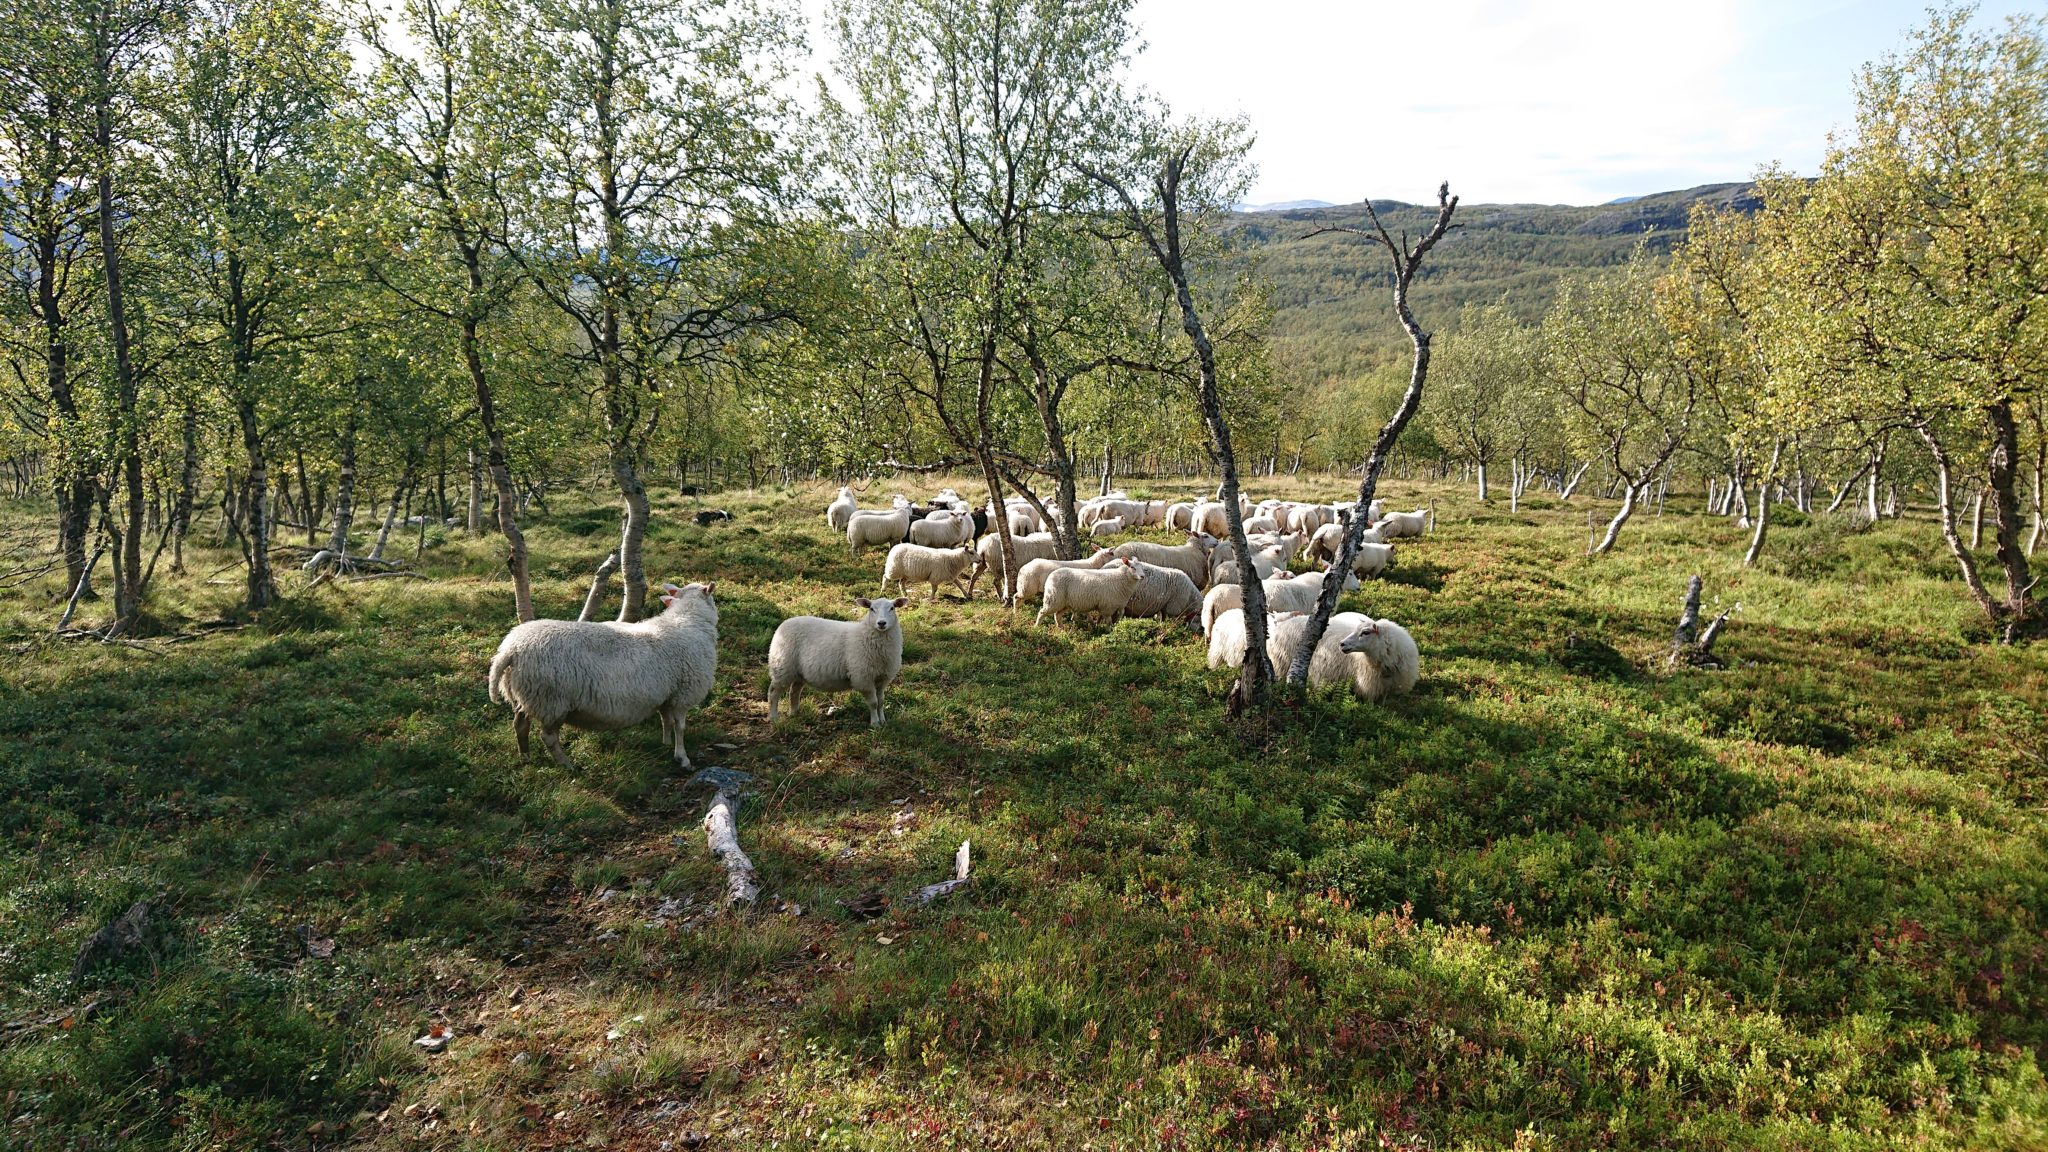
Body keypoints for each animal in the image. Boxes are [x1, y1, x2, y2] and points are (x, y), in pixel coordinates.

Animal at [487, 578, 720, 766]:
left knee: (520, 725)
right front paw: (682, 757)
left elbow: (667, 721)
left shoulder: (668, 693)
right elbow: (680, 726)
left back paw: (525, 757)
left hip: (524, 694)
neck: (687, 621)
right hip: (551, 700)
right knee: (548, 737)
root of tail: (510, 650)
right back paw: (566, 764)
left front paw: (665, 743)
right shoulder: (684, 693)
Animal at [770, 590, 909, 725]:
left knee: (794, 691)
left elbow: (881, 702)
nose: (881, 623)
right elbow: (874, 703)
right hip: (782, 667)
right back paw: (774, 718)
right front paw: (875, 724)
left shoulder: (882, 678)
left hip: (798, 672)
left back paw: (794, 713)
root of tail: (783, 624)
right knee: (773, 693)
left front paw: (883, 721)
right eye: (871, 609)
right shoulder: (864, 678)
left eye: (892, 608)